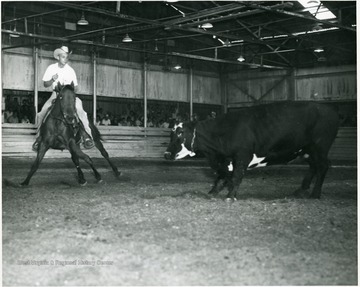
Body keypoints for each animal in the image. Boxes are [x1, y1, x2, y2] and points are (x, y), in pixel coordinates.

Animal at [165, 103, 340, 200]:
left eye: (180, 133)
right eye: (171, 133)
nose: (166, 154)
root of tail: (330, 110)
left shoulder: (243, 155)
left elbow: (236, 176)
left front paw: (230, 196)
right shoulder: (225, 160)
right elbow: (222, 177)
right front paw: (212, 193)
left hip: (320, 146)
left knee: (323, 166)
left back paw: (315, 194)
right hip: (306, 150)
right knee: (313, 166)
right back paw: (300, 191)